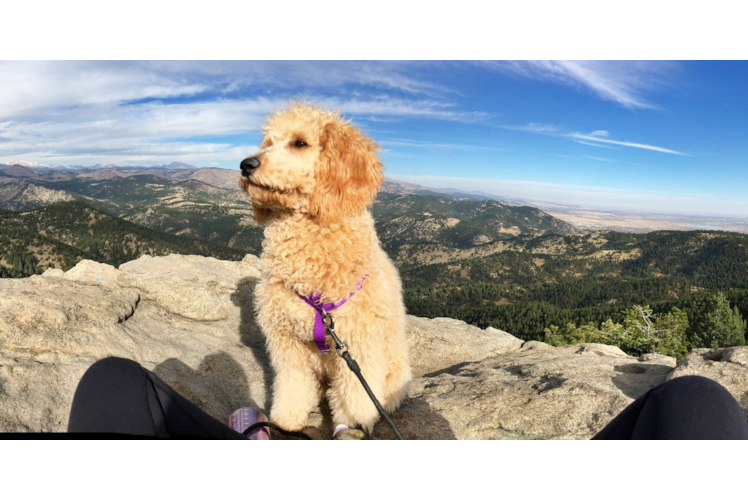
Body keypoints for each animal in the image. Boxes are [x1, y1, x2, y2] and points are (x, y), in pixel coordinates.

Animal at [238, 100, 412, 434]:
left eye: (299, 143)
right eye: (268, 143)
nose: (245, 164)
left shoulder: (358, 345)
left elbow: (356, 399)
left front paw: (353, 429)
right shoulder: (287, 341)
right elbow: (292, 385)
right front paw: (285, 423)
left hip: (394, 372)